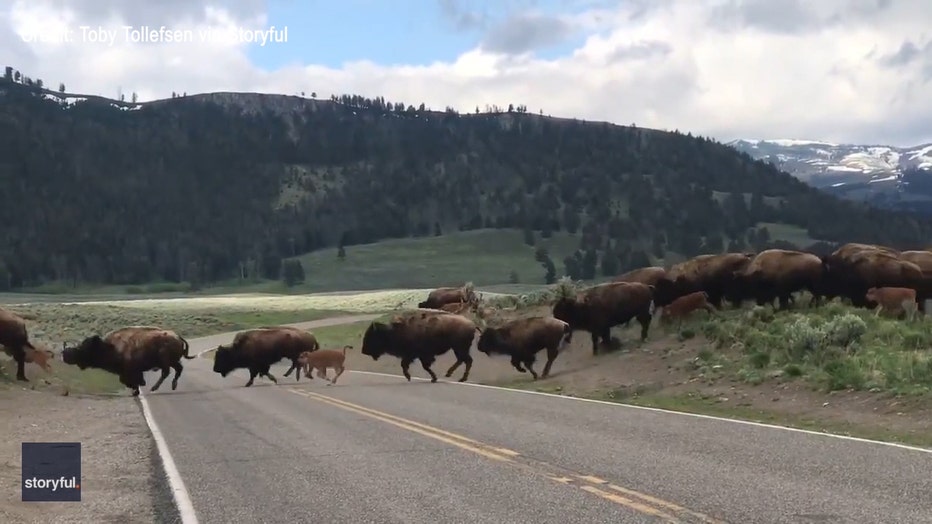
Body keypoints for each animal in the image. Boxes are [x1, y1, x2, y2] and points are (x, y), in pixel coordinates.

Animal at [61, 326, 196, 396]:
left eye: (85, 348)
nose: (64, 354)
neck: (110, 347)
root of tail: (177, 337)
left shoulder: (130, 370)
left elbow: (129, 380)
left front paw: (138, 388)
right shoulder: (126, 371)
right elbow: (126, 381)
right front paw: (136, 390)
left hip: (165, 361)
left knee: (166, 372)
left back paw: (154, 388)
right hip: (173, 361)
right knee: (178, 369)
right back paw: (173, 385)